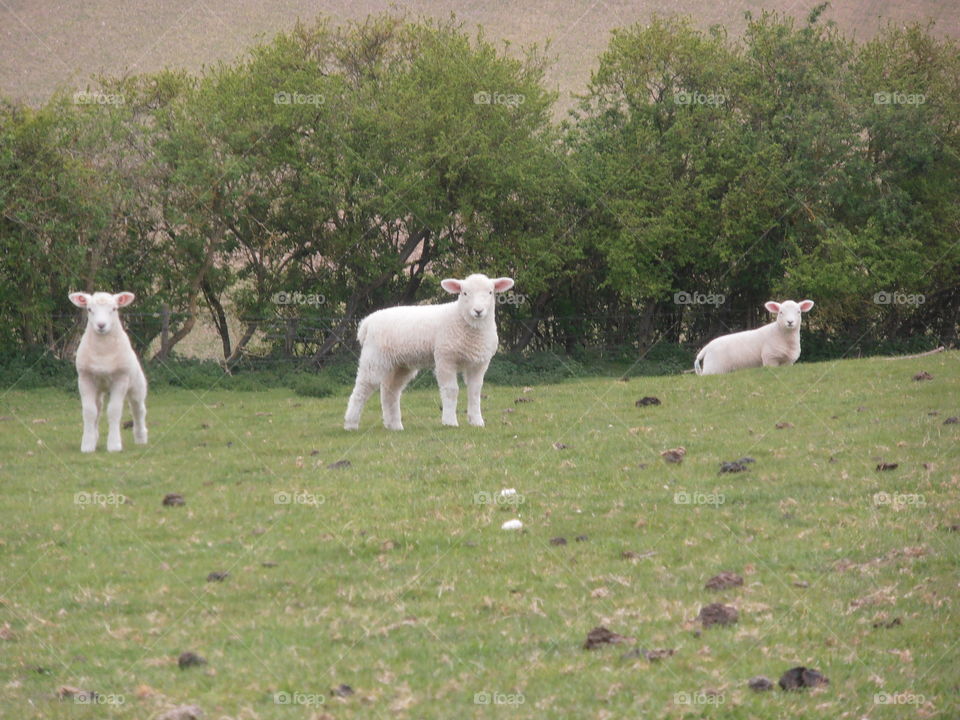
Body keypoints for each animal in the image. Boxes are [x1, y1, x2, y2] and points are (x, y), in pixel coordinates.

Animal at [68, 292, 148, 450]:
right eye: (89, 309)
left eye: (114, 309)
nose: (101, 325)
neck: (102, 352)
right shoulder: (85, 379)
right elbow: (89, 412)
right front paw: (87, 445)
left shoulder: (120, 378)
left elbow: (114, 411)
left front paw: (114, 445)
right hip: (98, 388)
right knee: (98, 408)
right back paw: (94, 437)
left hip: (137, 384)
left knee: (138, 409)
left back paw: (141, 437)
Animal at [342, 272, 512, 430]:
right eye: (464, 293)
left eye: (490, 292)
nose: (478, 311)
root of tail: (367, 322)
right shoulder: (445, 358)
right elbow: (451, 390)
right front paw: (450, 422)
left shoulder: (479, 363)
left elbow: (475, 391)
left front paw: (477, 421)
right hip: (374, 359)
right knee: (361, 390)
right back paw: (351, 424)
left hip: (400, 364)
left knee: (390, 391)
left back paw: (394, 425)